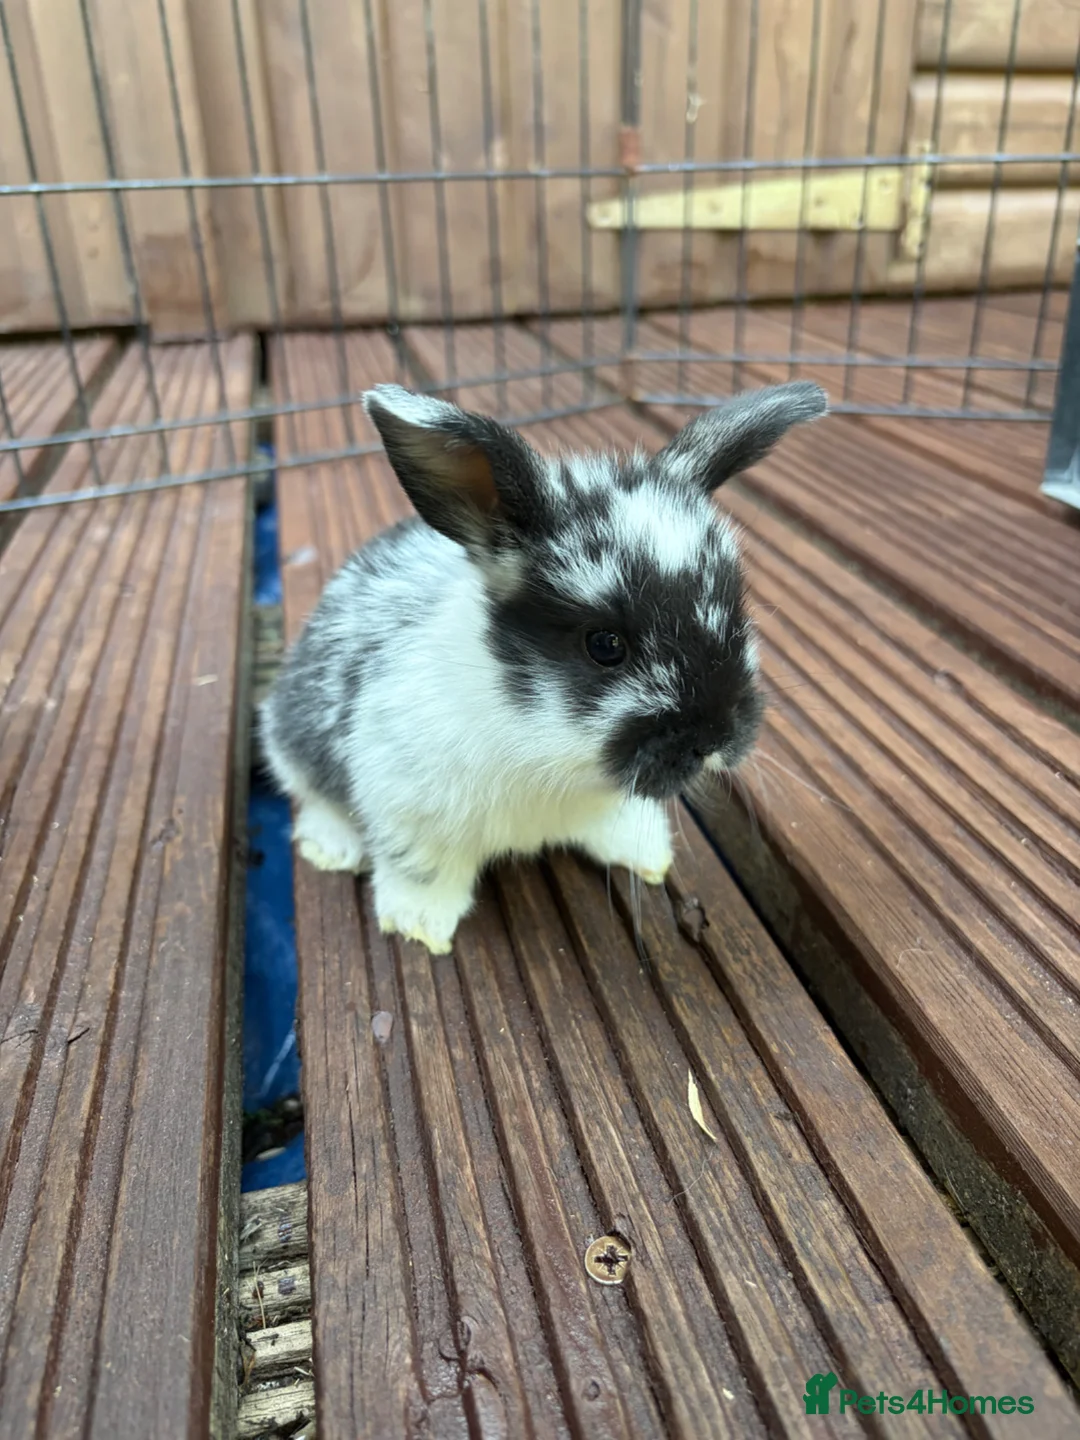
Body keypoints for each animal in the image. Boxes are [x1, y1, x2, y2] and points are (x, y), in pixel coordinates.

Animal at [260, 379, 828, 953]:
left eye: (737, 609)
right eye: (605, 645)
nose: (717, 738)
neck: (552, 751)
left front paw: (648, 855)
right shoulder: (404, 805)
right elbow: (421, 870)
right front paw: (418, 928)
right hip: (292, 740)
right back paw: (330, 848)